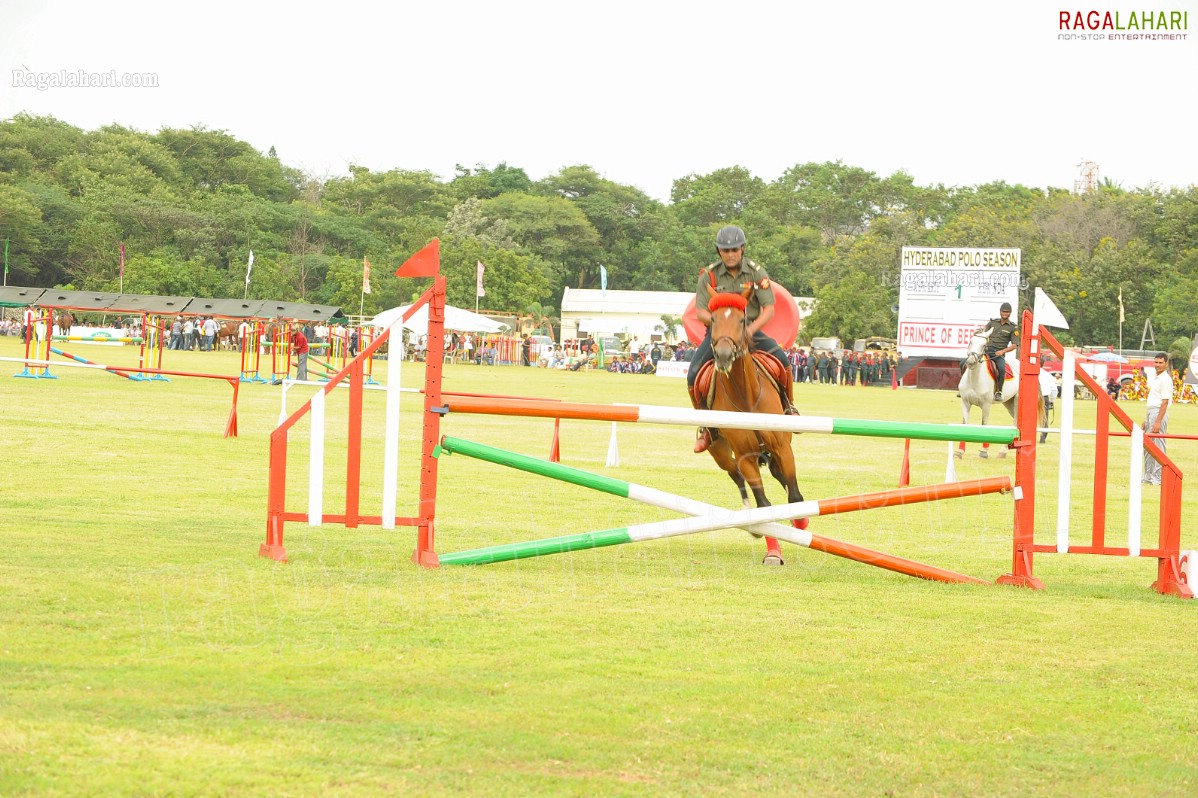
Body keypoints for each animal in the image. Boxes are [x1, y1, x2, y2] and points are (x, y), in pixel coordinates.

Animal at [694, 282, 805, 563]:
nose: (723, 356)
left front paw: (801, 523)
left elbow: (795, 497)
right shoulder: (745, 456)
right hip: (720, 451)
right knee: (735, 475)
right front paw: (773, 552)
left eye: (743, 320)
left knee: (779, 476)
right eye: (712, 319)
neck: (746, 396)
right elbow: (763, 506)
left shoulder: (782, 448)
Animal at [953, 325, 1020, 457]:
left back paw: (1003, 451)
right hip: (1008, 402)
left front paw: (984, 451)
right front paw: (960, 451)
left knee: (1015, 422)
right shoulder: (965, 402)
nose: (970, 361)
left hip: (1016, 401)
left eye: (984, 345)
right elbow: (965, 424)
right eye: (970, 342)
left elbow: (984, 424)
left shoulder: (986, 405)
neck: (975, 379)